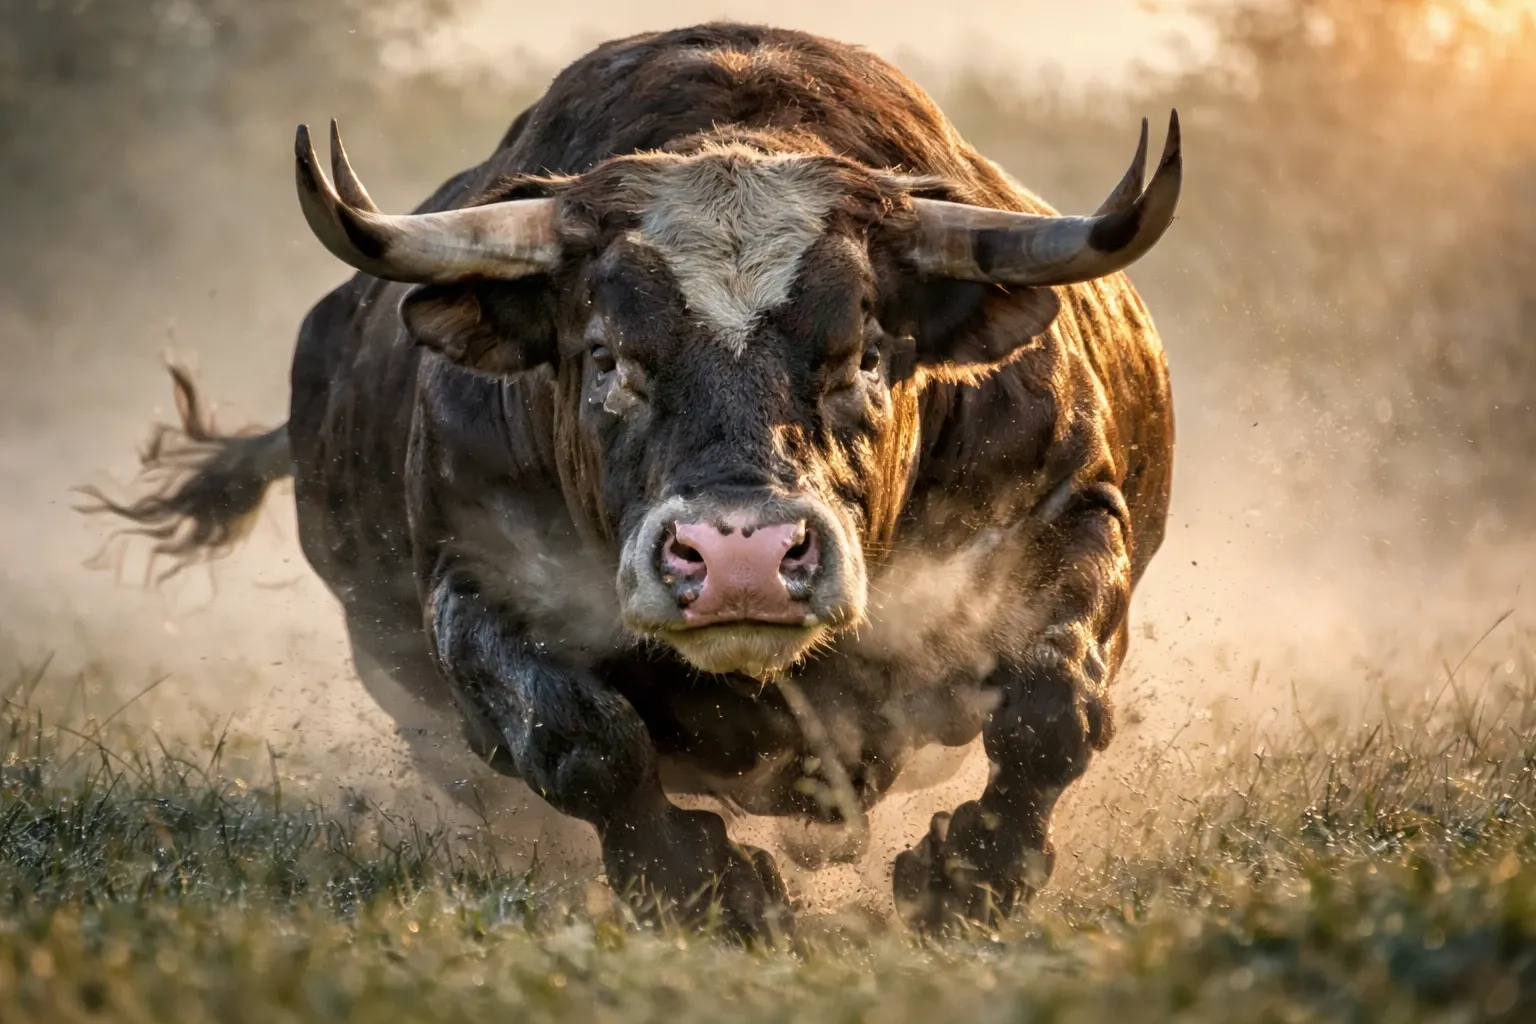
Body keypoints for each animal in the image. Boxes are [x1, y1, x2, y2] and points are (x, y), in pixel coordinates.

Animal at [87, 23, 1180, 941]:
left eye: (865, 353)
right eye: (608, 355)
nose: (741, 559)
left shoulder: (1066, 520)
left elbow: (1052, 713)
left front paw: (967, 879)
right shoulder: (478, 582)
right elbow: (586, 743)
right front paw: (710, 889)